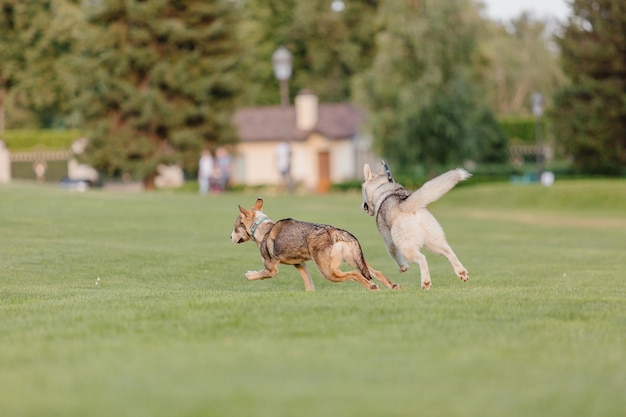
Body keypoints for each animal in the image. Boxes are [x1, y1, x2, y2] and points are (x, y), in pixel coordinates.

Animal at [230, 197, 400, 290]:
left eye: (235, 226)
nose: (230, 237)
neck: (262, 229)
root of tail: (334, 231)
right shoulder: (300, 265)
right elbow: (309, 285)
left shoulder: (272, 270)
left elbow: (258, 275)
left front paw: (250, 274)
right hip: (355, 259)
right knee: (376, 272)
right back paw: (392, 286)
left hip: (329, 271)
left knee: (354, 274)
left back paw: (372, 287)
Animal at [360, 161, 468, 290]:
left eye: (362, 189)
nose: (362, 205)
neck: (382, 188)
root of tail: (406, 205)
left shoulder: (389, 242)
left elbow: (396, 257)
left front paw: (403, 268)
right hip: (434, 242)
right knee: (449, 252)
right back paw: (461, 272)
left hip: (407, 248)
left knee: (422, 258)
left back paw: (426, 282)